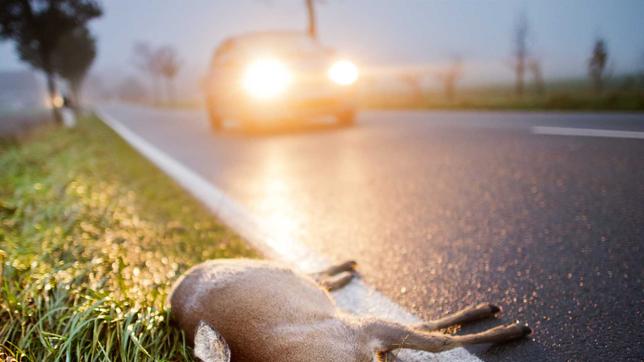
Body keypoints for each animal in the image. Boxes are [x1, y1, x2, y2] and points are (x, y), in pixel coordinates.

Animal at [169, 258, 532, 360]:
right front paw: (511, 328)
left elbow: (438, 341)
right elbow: (438, 341)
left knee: (312, 274)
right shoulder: (361, 332)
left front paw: (511, 327)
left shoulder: (358, 331)